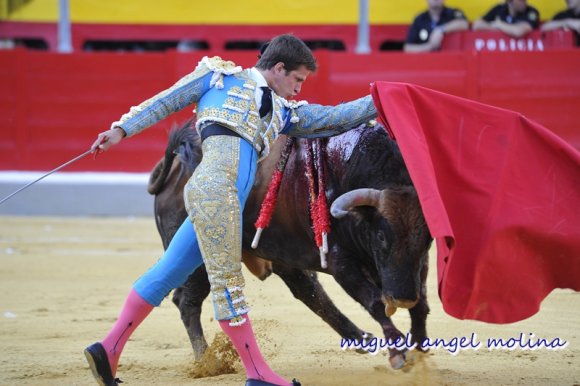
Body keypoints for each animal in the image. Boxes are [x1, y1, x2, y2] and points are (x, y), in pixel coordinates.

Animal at [147, 120, 432, 368]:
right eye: (382, 235)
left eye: (428, 238)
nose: (402, 298)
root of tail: (175, 167)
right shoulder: (342, 263)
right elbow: (374, 301)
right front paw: (398, 353)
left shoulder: (417, 264)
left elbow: (421, 301)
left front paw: (419, 345)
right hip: (198, 260)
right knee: (187, 301)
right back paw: (207, 361)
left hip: (283, 251)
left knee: (308, 292)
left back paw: (360, 338)